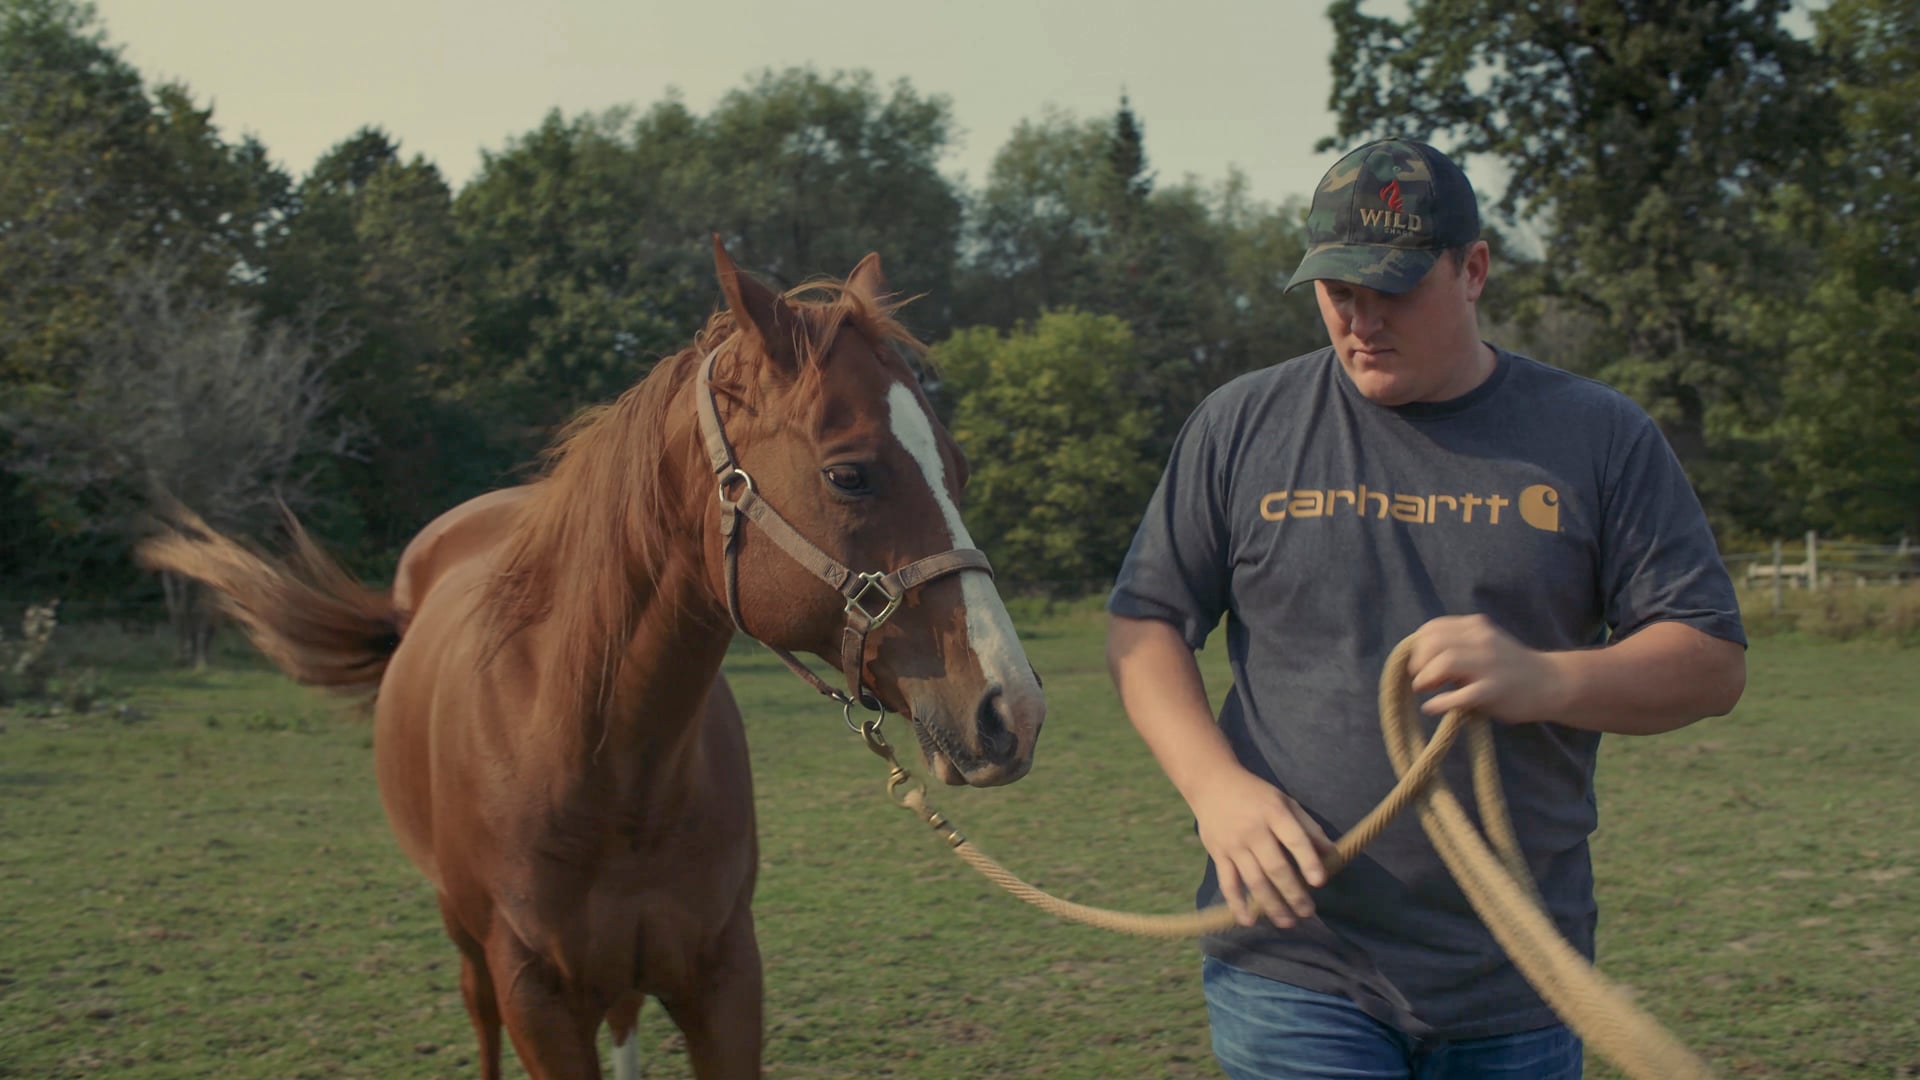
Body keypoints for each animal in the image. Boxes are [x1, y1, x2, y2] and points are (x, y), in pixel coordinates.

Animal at [137, 244, 1052, 1076]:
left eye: (959, 469)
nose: (1013, 709)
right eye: (849, 475)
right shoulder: (536, 997)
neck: (599, 758)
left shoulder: (725, 978)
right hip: (467, 943)